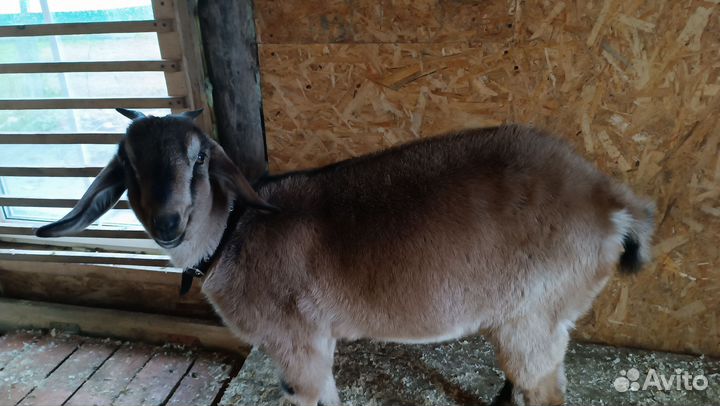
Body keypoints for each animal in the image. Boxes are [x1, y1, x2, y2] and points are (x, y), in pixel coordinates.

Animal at [37, 109, 655, 406]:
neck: (232, 236)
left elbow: (311, 396)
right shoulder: (316, 343)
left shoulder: (296, 344)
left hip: (536, 314)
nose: (168, 224)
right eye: (128, 165)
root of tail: (609, 199)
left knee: (545, 391)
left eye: (198, 160)